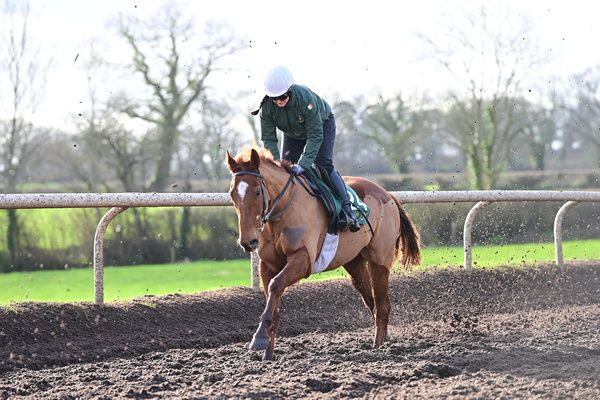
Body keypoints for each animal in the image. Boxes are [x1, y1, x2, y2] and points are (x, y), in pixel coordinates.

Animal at [226, 148, 422, 360]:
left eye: (256, 191)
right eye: (232, 194)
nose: (248, 241)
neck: (285, 208)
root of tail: (388, 195)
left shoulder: (303, 259)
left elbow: (275, 285)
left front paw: (259, 336)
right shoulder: (267, 265)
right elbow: (273, 298)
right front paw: (268, 353)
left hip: (380, 260)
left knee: (381, 304)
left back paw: (378, 346)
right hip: (354, 262)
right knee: (371, 301)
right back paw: (382, 340)